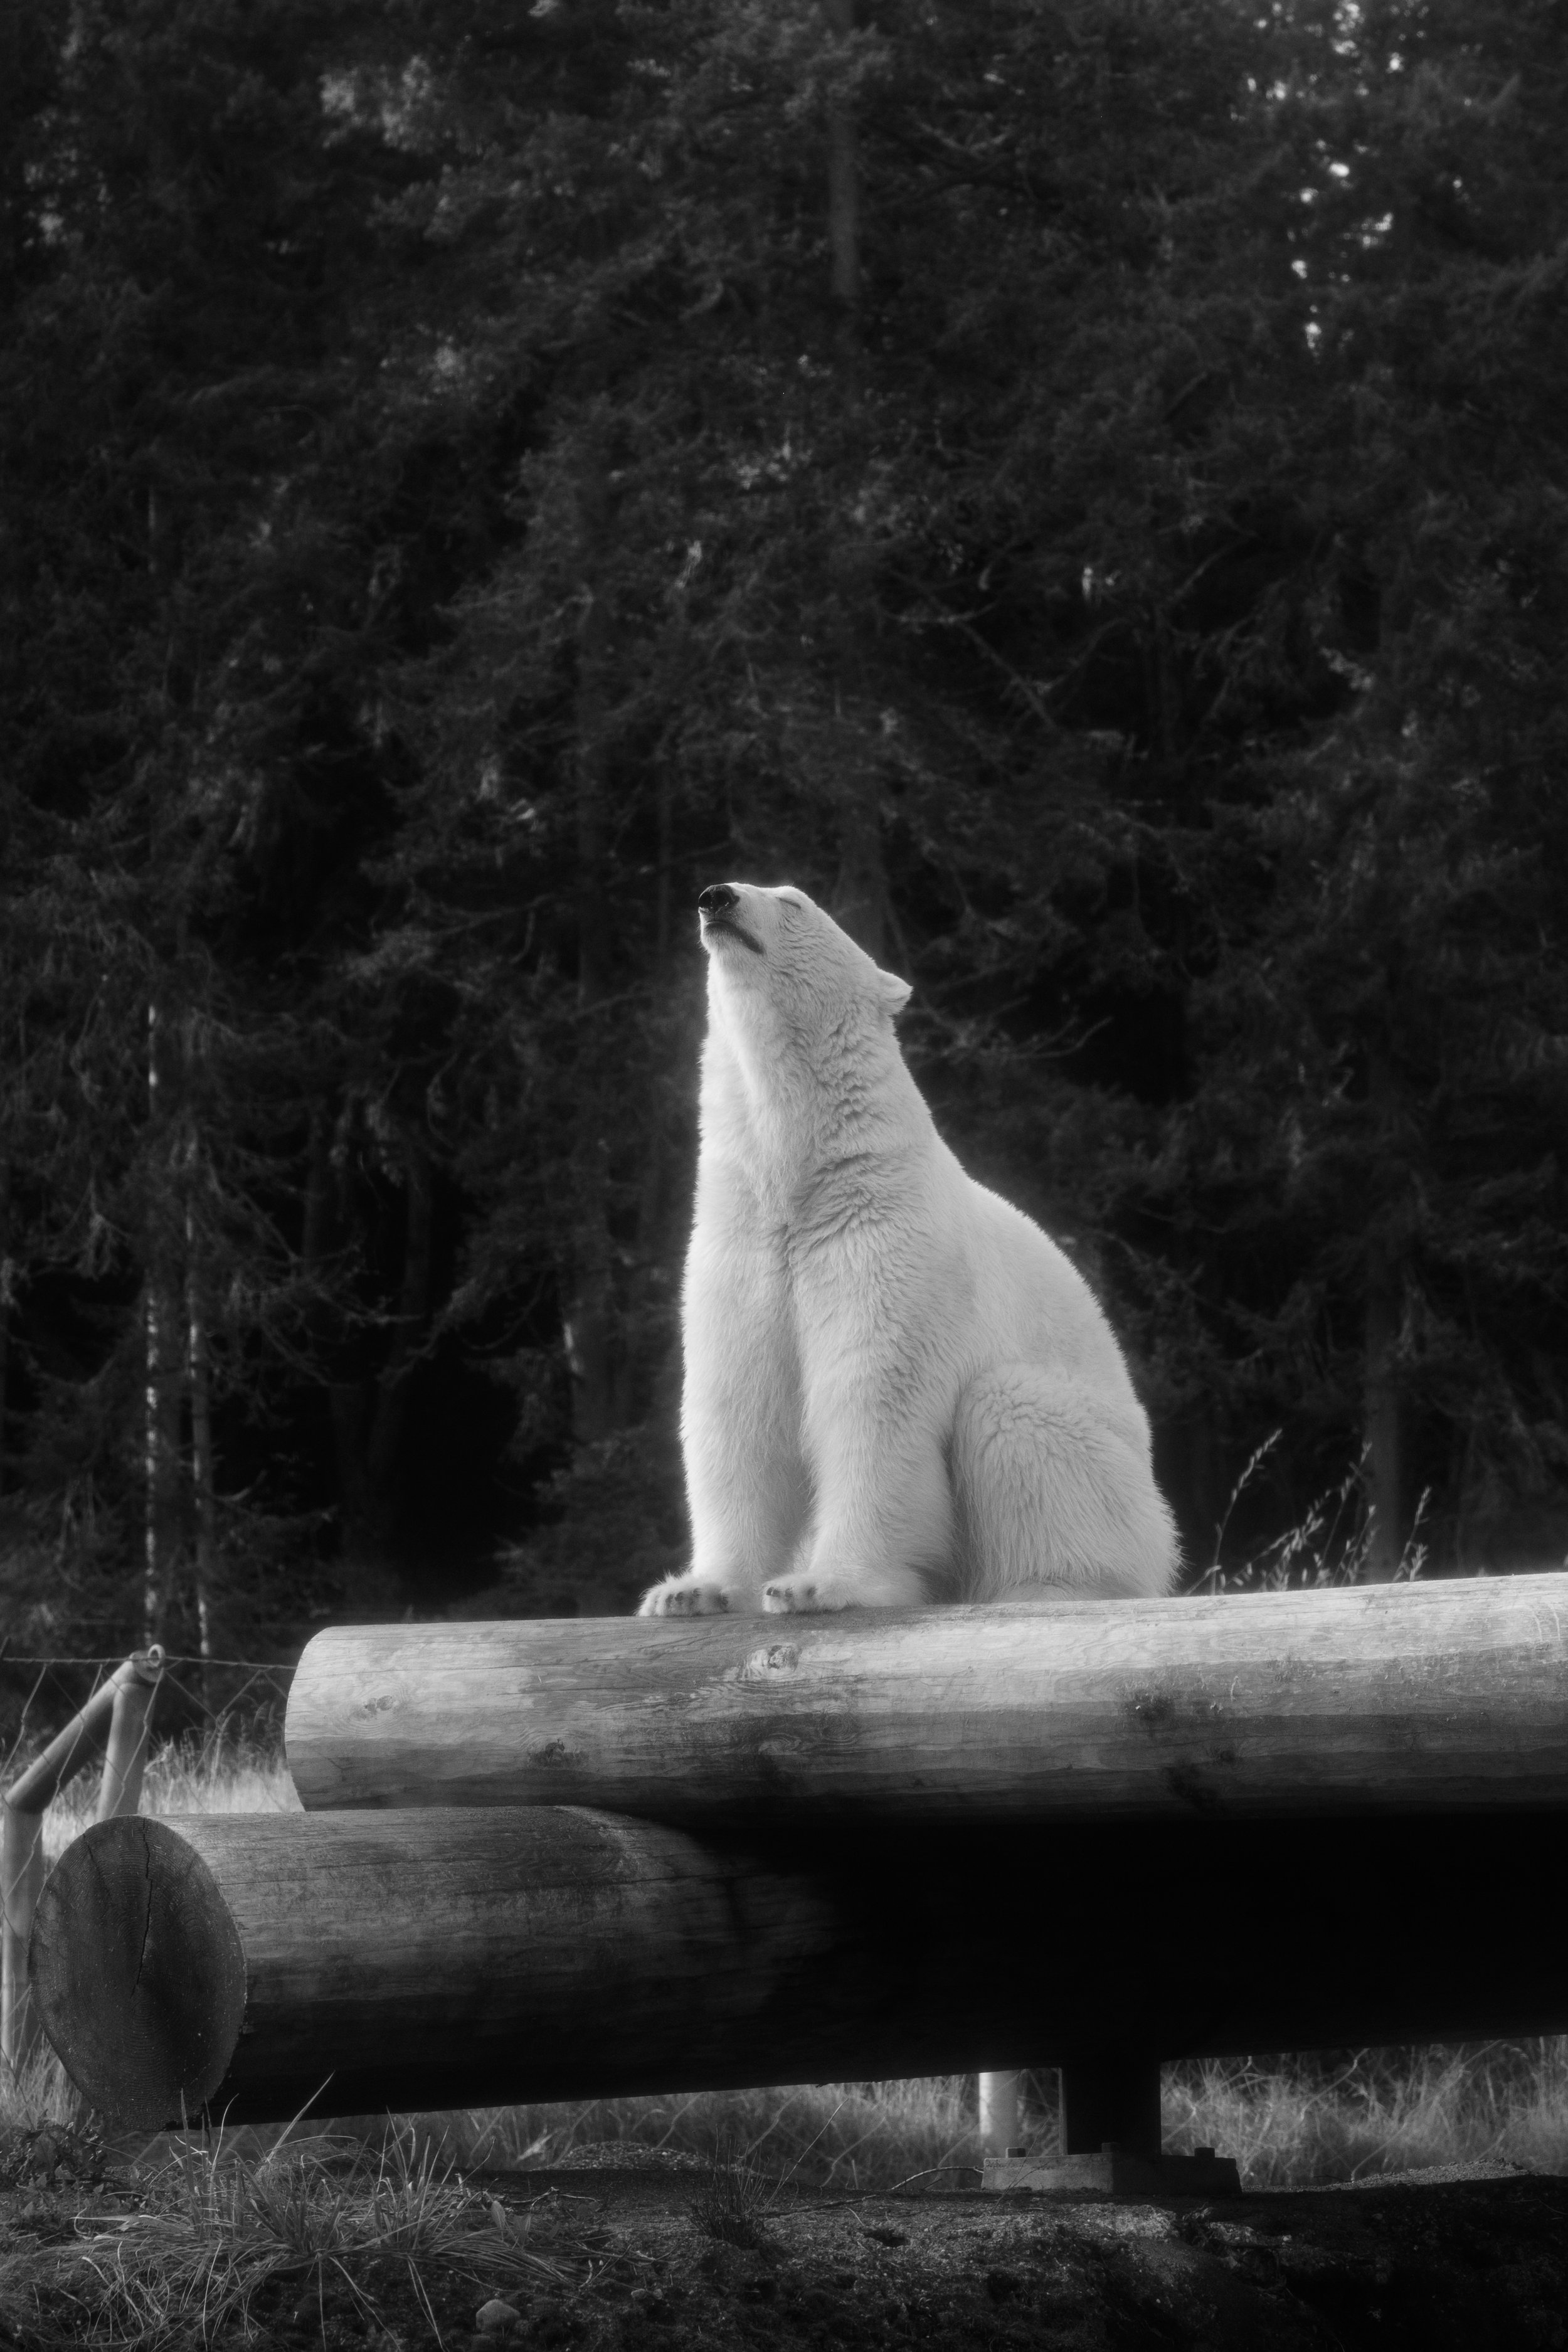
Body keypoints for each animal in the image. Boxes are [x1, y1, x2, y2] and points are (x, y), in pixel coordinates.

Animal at [636, 881, 1179, 1617]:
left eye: (792, 901)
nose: (715, 898)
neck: (810, 1184)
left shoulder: (882, 1243)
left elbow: (874, 1402)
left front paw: (820, 1585)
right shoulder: (743, 1249)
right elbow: (739, 1407)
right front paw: (694, 1590)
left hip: (1113, 1471)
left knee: (1012, 1411)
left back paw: (1043, 1586)